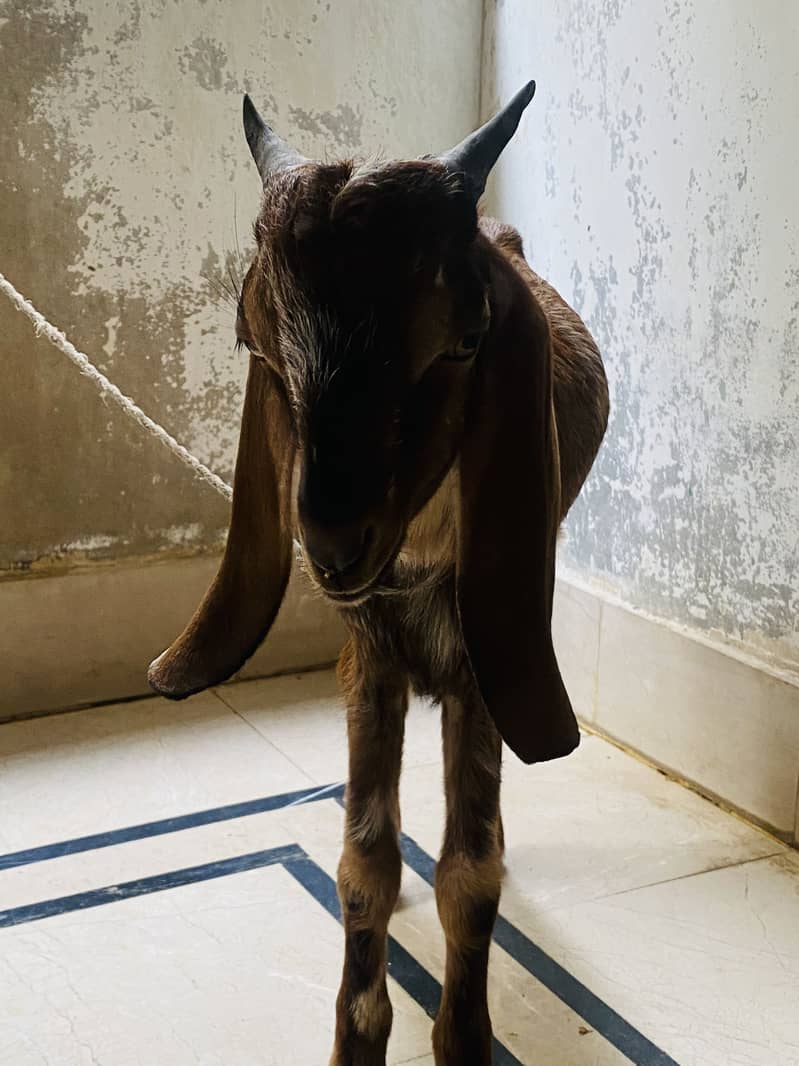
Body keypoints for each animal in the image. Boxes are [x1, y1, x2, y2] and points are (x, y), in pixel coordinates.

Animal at [149, 81, 609, 1066]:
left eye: (463, 341)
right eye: (257, 343)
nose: (331, 544)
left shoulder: (487, 661)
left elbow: (472, 870)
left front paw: (463, 1037)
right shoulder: (368, 659)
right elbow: (365, 861)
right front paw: (357, 1035)